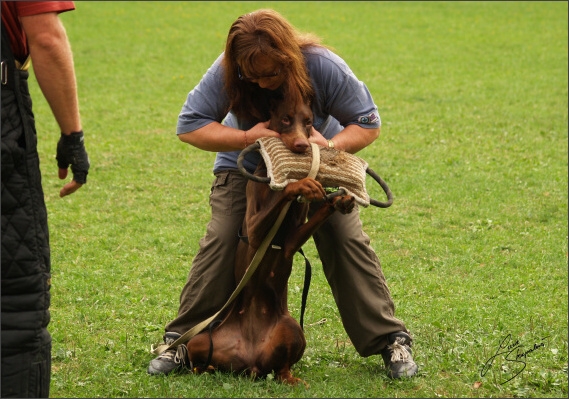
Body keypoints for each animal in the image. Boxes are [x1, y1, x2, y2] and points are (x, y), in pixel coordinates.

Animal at [186, 97, 356, 384]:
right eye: (285, 119)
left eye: (308, 121)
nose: (301, 145)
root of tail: (251, 361)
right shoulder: (255, 232)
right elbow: (284, 194)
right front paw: (300, 185)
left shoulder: (290, 244)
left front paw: (339, 199)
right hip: (198, 341)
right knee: (197, 356)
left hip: (292, 329)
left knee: (282, 368)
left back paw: (292, 379)